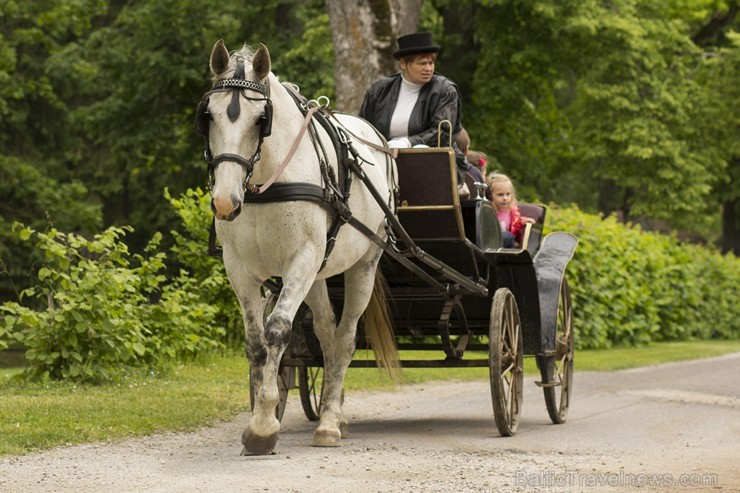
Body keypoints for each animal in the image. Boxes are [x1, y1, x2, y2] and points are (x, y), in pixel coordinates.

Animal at [198, 39, 398, 454]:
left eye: (261, 120)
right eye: (207, 116)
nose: (225, 201)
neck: (266, 184)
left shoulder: (301, 261)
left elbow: (277, 330)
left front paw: (263, 427)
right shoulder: (239, 268)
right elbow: (256, 343)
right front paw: (262, 416)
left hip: (363, 263)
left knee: (346, 338)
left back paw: (329, 424)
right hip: (318, 273)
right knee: (327, 332)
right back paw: (333, 413)